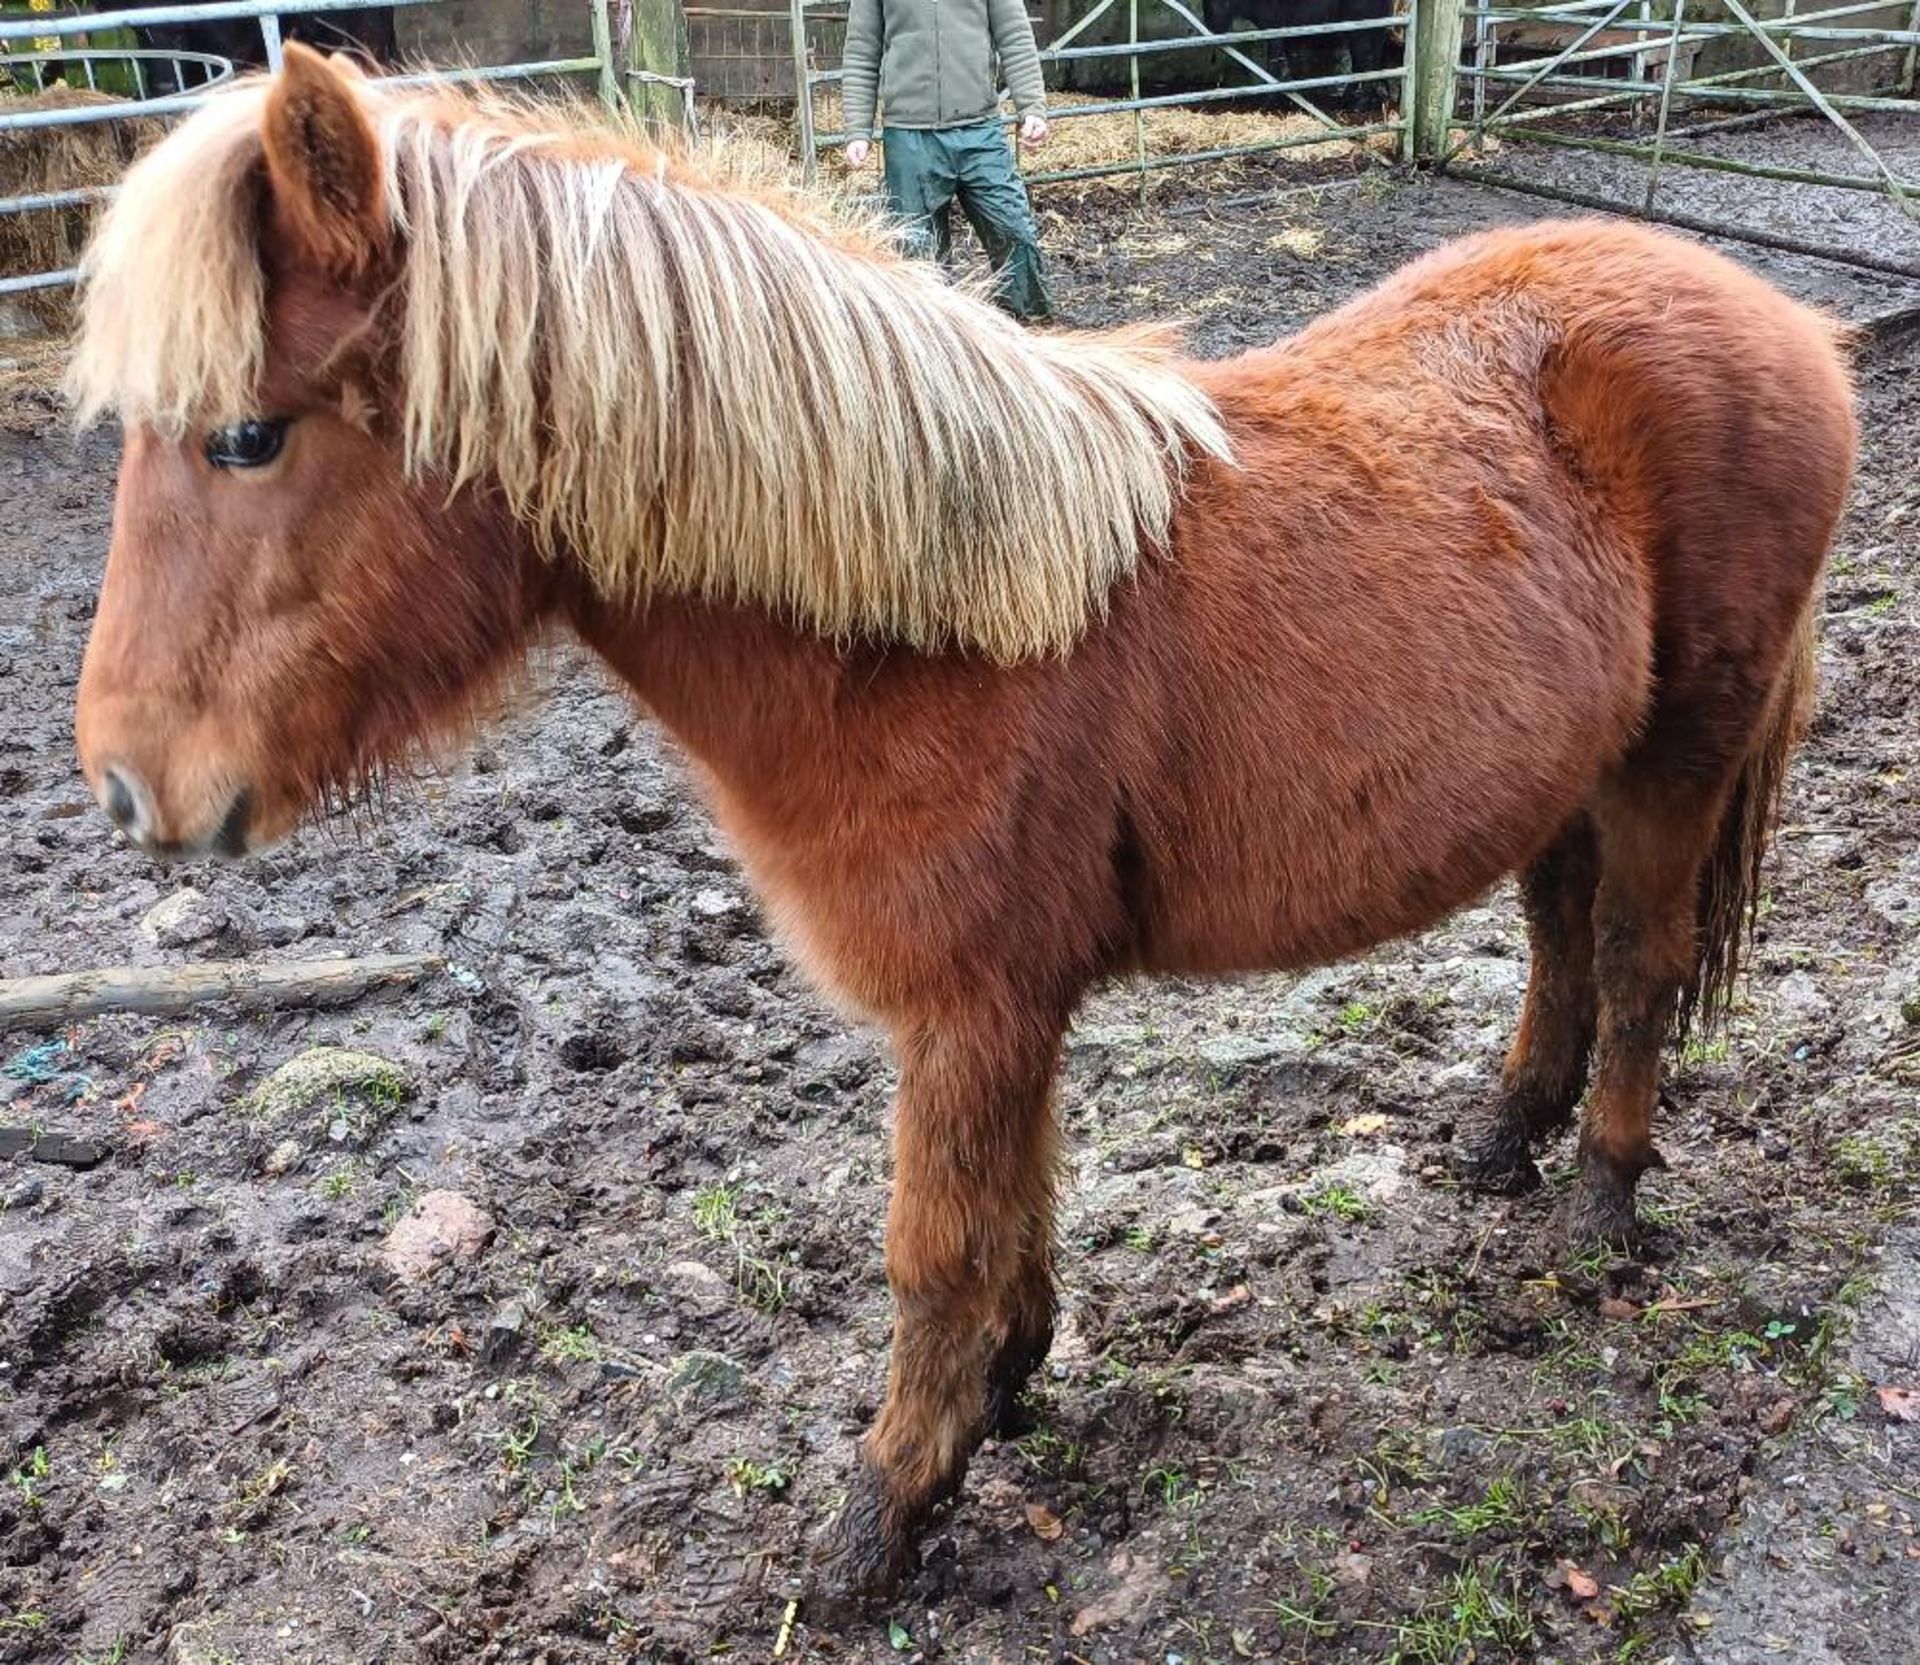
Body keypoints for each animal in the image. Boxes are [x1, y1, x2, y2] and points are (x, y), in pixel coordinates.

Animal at [67, 48, 1850, 1605]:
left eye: (247, 435)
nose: (125, 785)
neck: (921, 631)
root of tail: (1789, 322)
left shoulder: (969, 1009)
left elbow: (933, 1246)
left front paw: (886, 1508)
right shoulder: (1005, 1015)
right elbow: (1018, 1203)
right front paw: (1009, 1386)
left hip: (1677, 759)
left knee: (1638, 956)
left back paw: (1602, 1203)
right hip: (1572, 766)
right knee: (1560, 934)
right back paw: (1503, 1134)